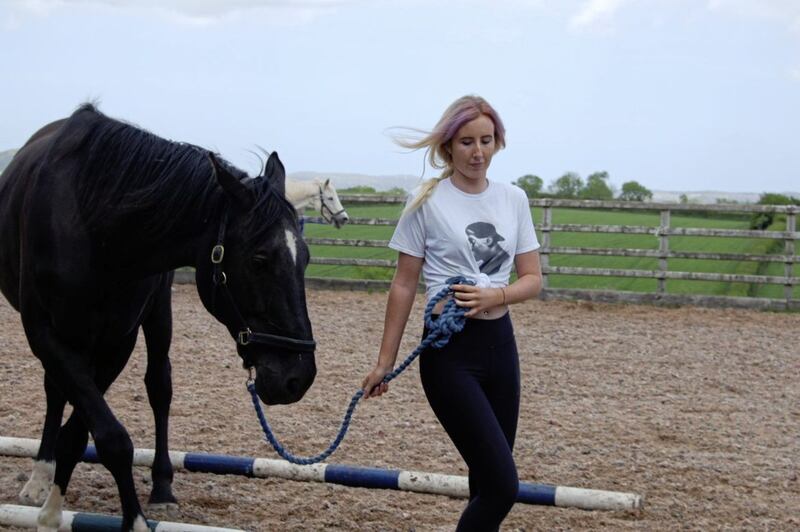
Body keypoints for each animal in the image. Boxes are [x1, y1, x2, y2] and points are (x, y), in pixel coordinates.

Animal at [0, 105, 318, 532]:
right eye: (259, 260)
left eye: (306, 258)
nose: (298, 377)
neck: (94, 223)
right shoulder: (46, 335)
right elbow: (109, 437)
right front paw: (68, 509)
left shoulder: (117, 340)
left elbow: (85, 431)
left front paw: (55, 510)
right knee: (57, 391)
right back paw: (40, 474)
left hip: (156, 314)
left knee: (158, 386)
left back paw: (161, 486)